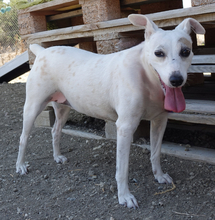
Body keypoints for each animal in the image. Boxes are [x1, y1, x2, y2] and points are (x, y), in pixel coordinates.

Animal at [16, 15, 205, 208]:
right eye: (159, 53)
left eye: (185, 51)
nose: (176, 80)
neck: (147, 77)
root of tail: (42, 52)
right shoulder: (125, 127)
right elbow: (122, 168)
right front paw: (125, 196)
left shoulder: (159, 122)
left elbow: (155, 153)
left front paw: (158, 175)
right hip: (33, 107)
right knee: (23, 138)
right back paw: (21, 166)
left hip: (62, 108)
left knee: (55, 131)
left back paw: (57, 156)